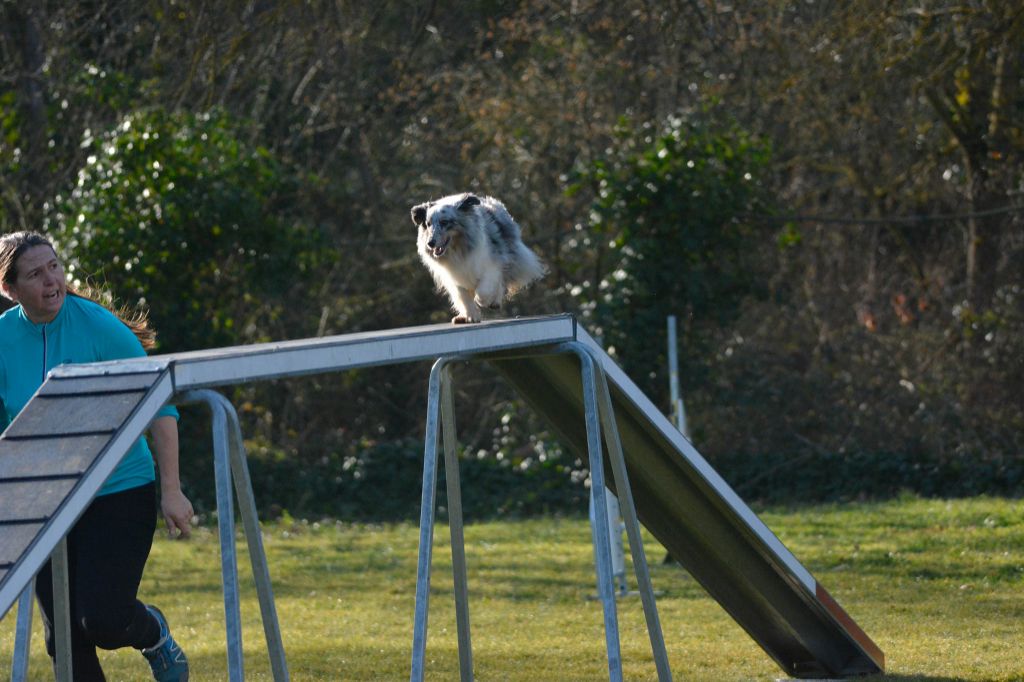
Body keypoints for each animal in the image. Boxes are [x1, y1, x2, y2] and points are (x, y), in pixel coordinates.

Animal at [411, 188, 548, 321]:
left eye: (444, 222)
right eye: (428, 224)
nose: (430, 243)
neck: (458, 249)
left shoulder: (491, 266)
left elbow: (484, 290)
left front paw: (482, 301)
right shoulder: (455, 276)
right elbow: (464, 297)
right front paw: (471, 316)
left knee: (501, 282)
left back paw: (494, 302)